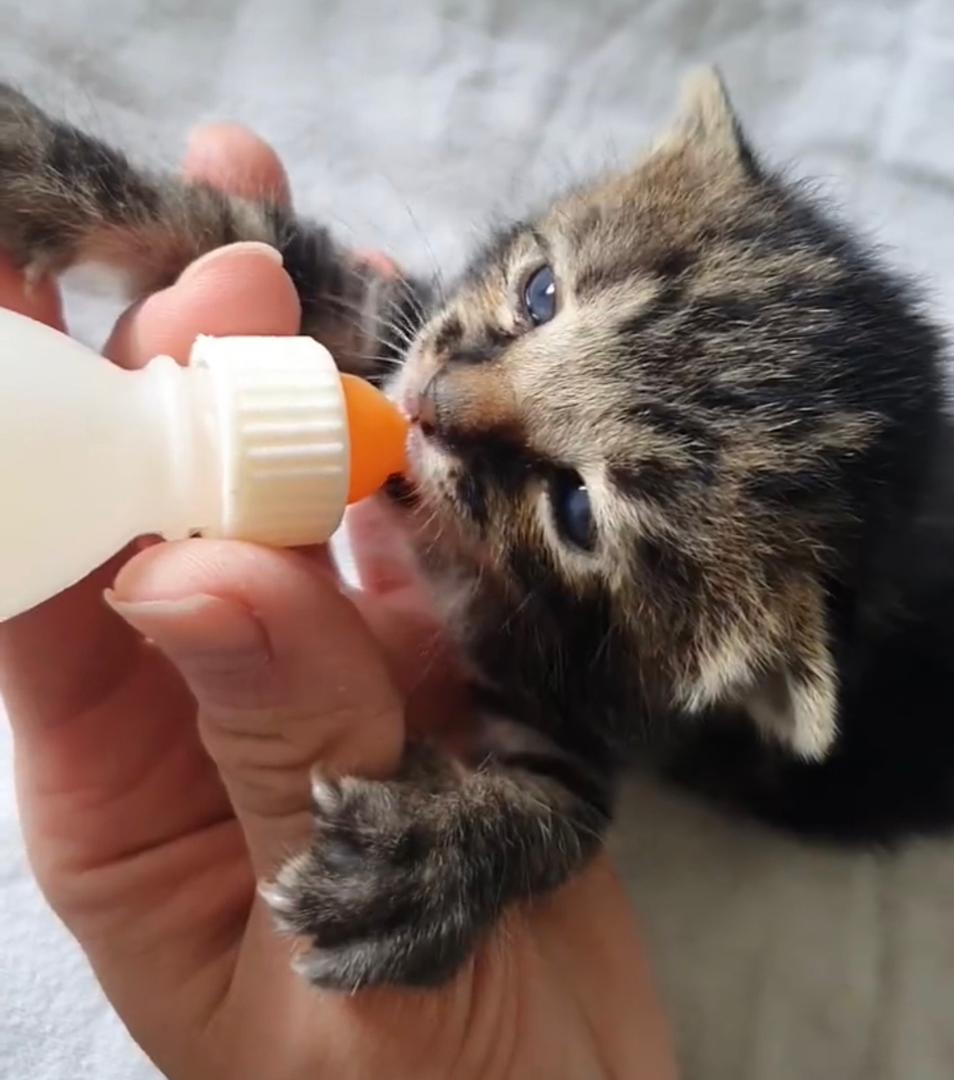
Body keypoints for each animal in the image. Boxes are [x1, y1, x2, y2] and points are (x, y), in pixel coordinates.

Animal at [1, 71, 954, 989]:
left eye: (576, 510)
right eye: (541, 293)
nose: (429, 402)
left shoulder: (596, 702)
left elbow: (559, 817)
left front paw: (425, 863)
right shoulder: (395, 319)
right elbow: (250, 238)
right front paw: (38, 169)